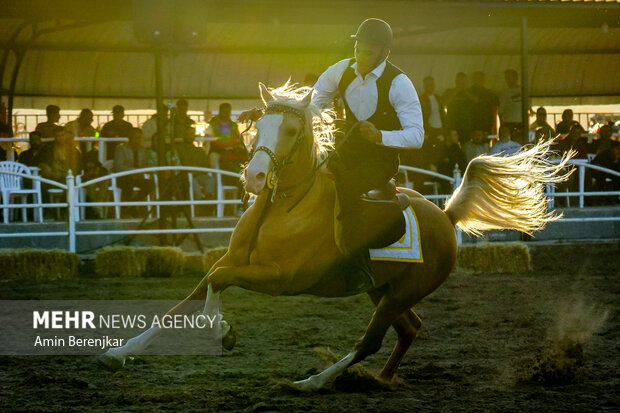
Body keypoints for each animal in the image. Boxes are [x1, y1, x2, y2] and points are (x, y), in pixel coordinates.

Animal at [100, 83, 572, 390]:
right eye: (258, 128)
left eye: (291, 132)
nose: (254, 178)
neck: (284, 206)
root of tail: (445, 216)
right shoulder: (229, 260)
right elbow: (186, 300)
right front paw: (120, 353)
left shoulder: (280, 278)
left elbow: (214, 286)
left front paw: (222, 331)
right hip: (383, 290)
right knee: (409, 330)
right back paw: (381, 380)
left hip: (398, 294)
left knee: (372, 340)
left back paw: (313, 382)